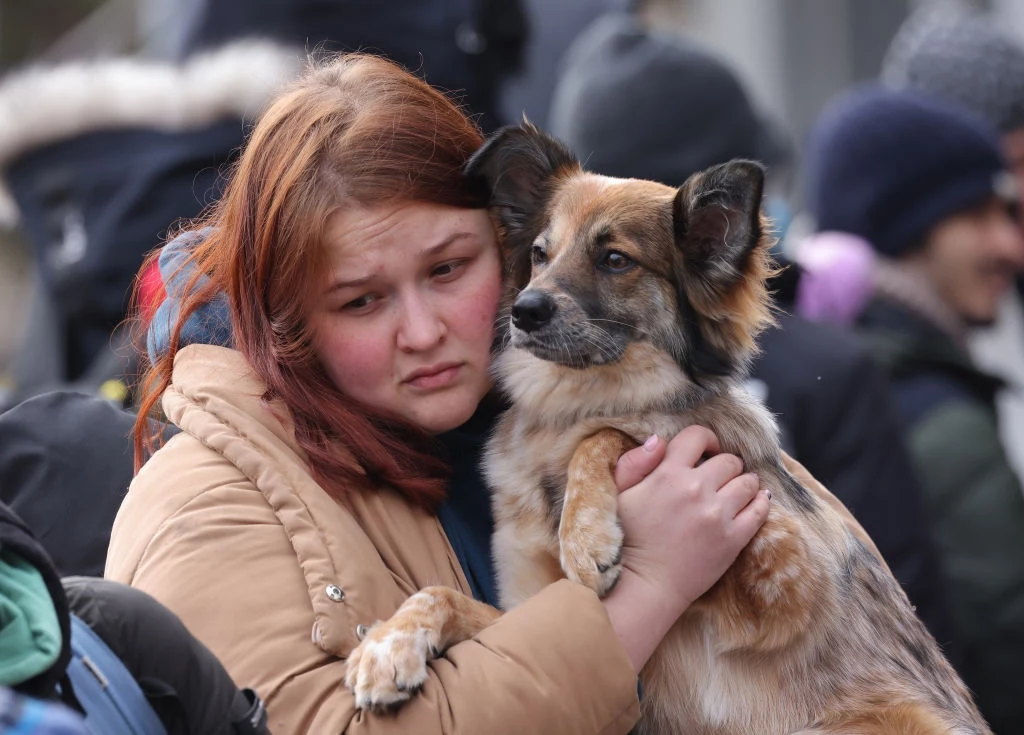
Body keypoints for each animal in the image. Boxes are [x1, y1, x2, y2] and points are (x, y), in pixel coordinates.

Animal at [346, 125, 991, 735]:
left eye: (615, 259)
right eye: (539, 253)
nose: (524, 311)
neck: (571, 403)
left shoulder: (784, 570)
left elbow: (610, 435)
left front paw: (586, 536)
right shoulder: (542, 621)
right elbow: (441, 594)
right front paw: (386, 647)